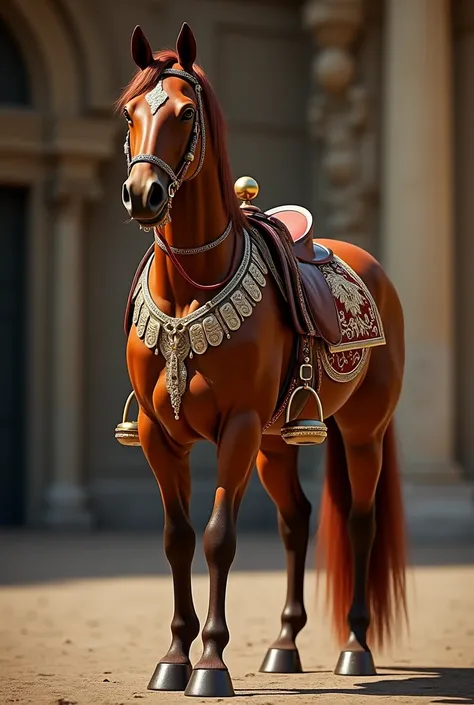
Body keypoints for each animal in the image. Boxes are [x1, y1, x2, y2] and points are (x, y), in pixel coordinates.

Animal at [115, 22, 408, 700]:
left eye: (185, 111)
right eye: (129, 113)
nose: (143, 194)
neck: (191, 287)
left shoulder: (239, 427)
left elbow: (219, 538)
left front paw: (211, 663)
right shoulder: (158, 433)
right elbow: (177, 538)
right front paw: (174, 656)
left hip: (361, 433)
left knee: (358, 523)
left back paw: (355, 647)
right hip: (278, 441)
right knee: (296, 521)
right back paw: (284, 645)